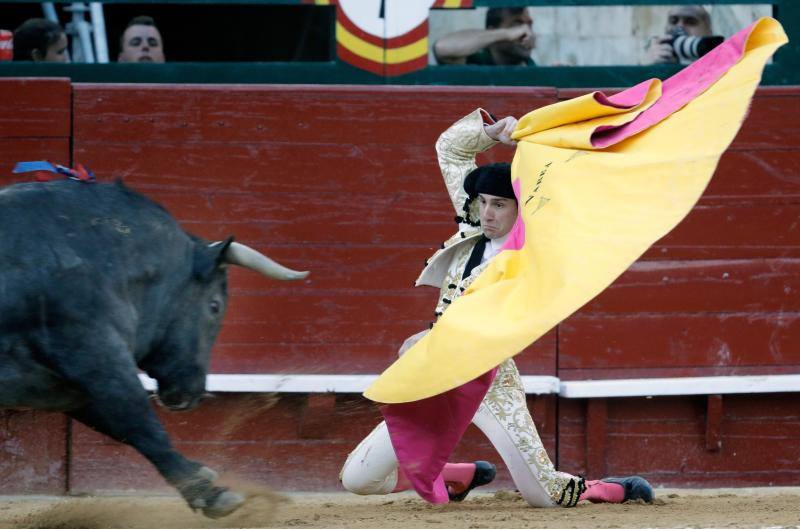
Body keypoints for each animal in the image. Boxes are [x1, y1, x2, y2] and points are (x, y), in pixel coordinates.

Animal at [0, 179, 306, 516]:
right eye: (214, 305)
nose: (191, 394)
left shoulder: (63, 387)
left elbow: (120, 427)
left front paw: (200, 473)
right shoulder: (99, 360)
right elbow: (143, 426)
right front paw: (211, 494)